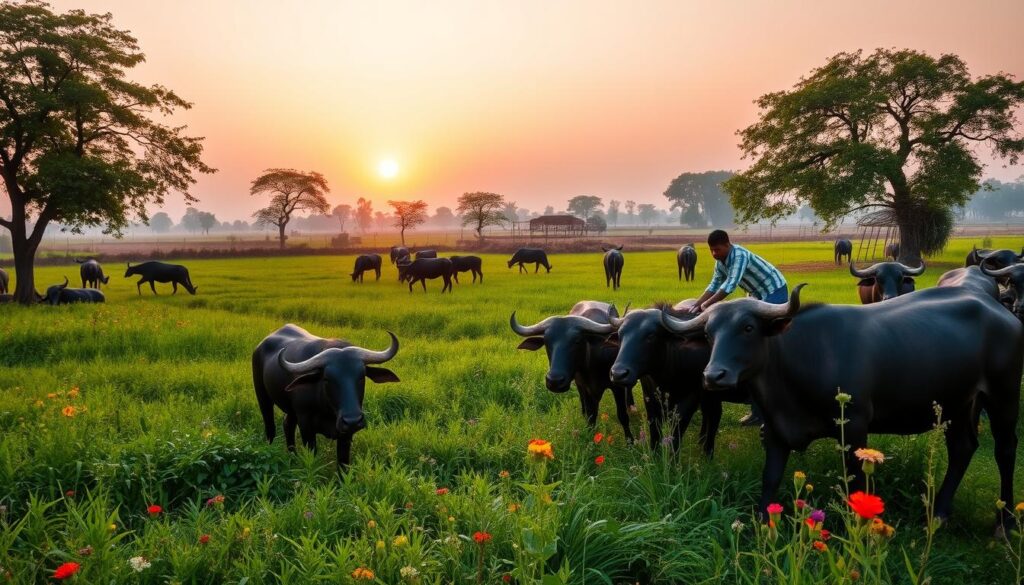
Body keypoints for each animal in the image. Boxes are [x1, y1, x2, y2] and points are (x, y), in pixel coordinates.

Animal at [251, 325, 399, 467]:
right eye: (327, 378)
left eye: (362, 376)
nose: (352, 420)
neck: (329, 411)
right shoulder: (306, 427)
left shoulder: (346, 435)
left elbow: (343, 465)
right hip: (262, 396)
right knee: (270, 426)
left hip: (291, 410)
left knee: (287, 424)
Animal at [512, 301, 638, 444]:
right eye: (546, 342)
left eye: (577, 341)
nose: (554, 381)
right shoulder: (586, 387)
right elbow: (591, 416)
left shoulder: (617, 386)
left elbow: (622, 415)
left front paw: (630, 441)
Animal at [659, 284, 1019, 532]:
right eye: (709, 334)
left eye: (747, 328)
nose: (713, 376)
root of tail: (998, 310)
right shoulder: (775, 430)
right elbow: (770, 479)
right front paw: (763, 525)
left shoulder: (856, 427)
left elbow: (855, 481)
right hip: (960, 403)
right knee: (962, 448)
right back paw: (940, 514)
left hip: (1003, 394)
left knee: (1005, 450)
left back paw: (1005, 523)